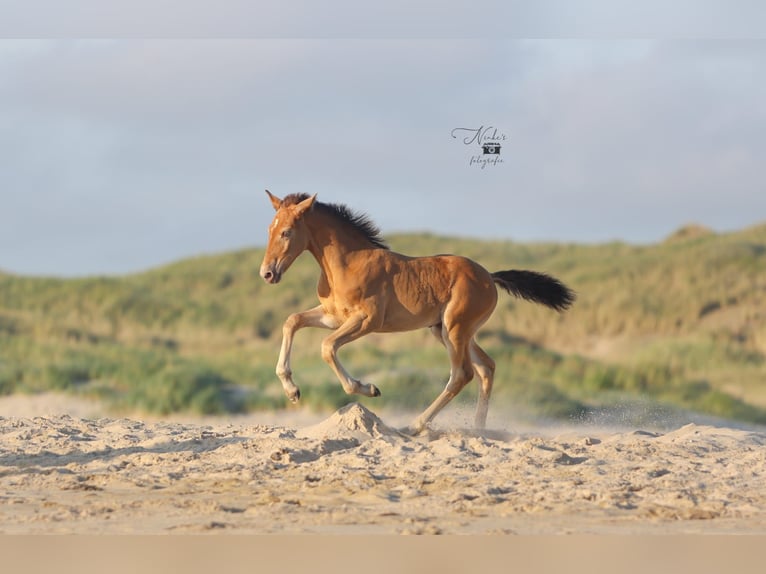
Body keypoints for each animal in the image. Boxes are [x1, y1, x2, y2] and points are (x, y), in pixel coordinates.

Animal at [259, 190, 575, 434]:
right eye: (269, 231)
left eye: (286, 232)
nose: (267, 273)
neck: (348, 262)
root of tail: (490, 276)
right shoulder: (333, 316)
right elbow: (292, 321)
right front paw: (292, 390)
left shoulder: (367, 320)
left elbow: (326, 347)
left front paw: (367, 388)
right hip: (448, 331)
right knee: (486, 367)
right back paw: (478, 429)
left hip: (454, 329)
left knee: (462, 374)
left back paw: (415, 425)